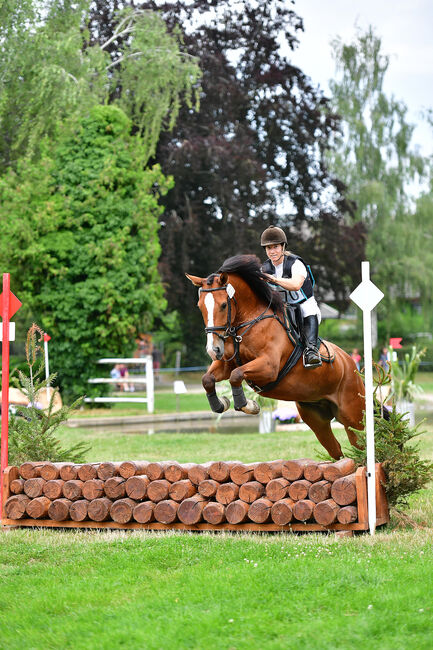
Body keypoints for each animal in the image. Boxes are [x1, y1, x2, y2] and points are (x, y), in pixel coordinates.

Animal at [186, 251, 364, 458]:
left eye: (223, 305)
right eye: (200, 306)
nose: (213, 350)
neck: (247, 322)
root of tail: (351, 364)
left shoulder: (268, 367)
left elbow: (236, 375)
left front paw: (248, 405)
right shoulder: (227, 364)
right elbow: (208, 379)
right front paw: (221, 404)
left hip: (353, 414)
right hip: (315, 415)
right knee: (335, 449)